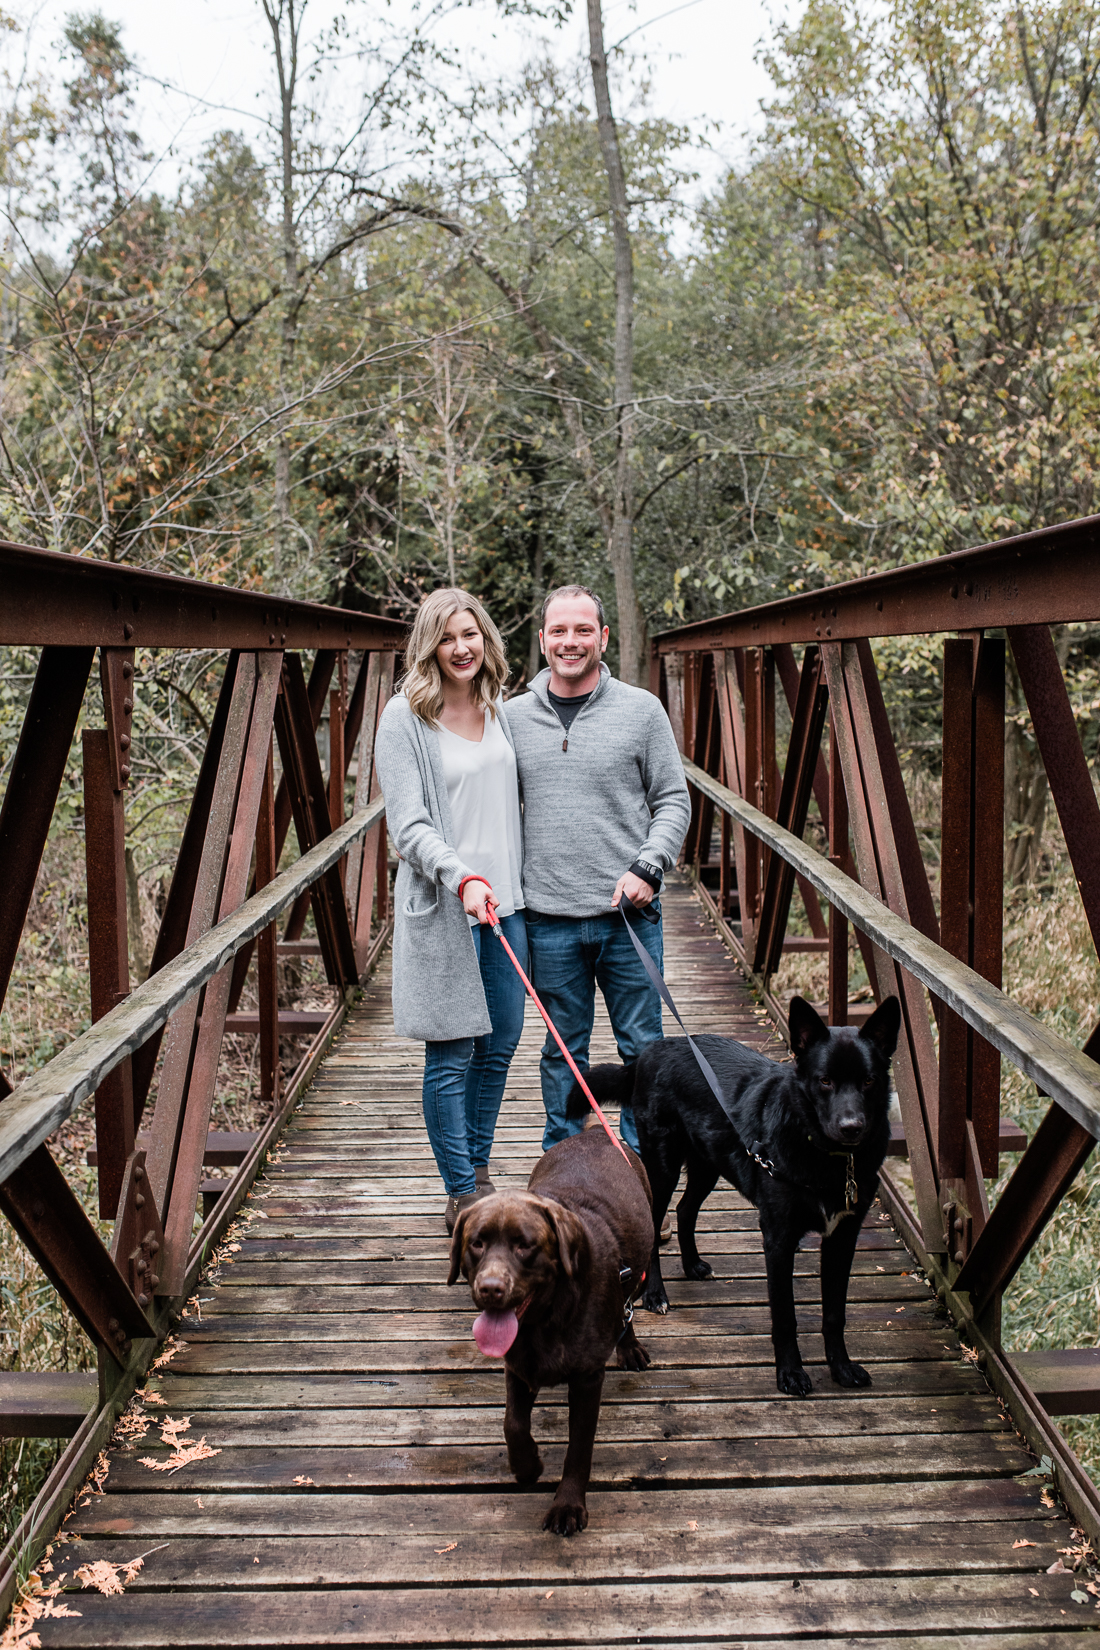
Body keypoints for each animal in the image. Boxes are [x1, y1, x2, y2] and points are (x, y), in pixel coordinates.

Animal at [567, 990, 903, 1392]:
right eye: (824, 1081)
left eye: (868, 1081)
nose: (852, 1127)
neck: (829, 1157)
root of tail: (651, 1052)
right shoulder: (778, 1240)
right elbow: (785, 1317)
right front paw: (791, 1373)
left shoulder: (843, 1237)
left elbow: (835, 1313)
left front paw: (842, 1368)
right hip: (663, 1169)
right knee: (656, 1222)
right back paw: (655, 1294)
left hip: (708, 1165)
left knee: (685, 1210)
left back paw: (692, 1264)